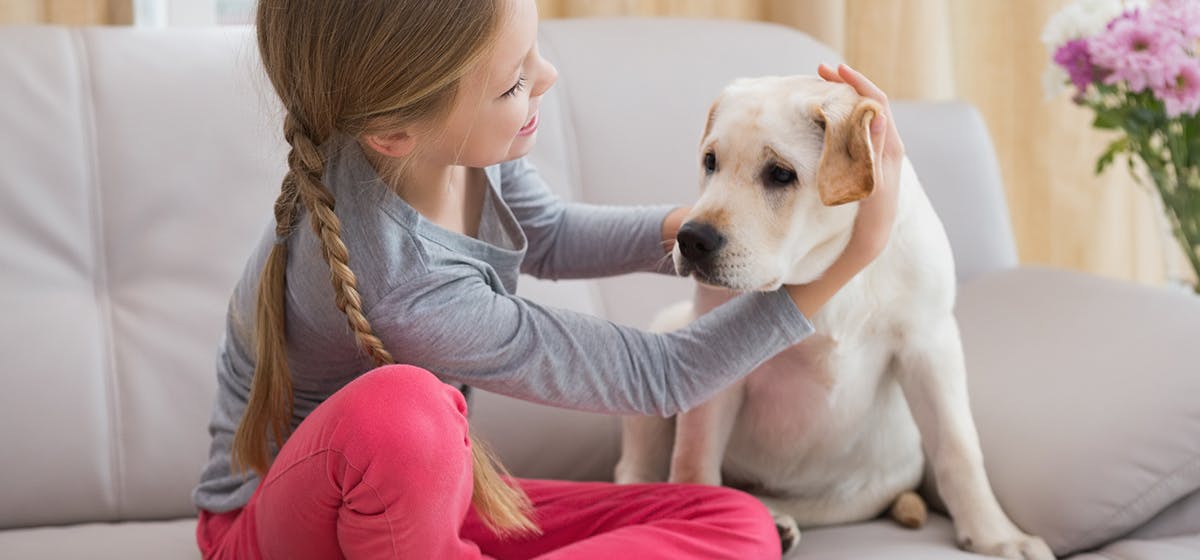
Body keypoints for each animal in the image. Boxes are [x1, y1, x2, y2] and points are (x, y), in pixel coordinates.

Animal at [619, 75, 1051, 560]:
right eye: (711, 162)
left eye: (780, 173)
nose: (691, 239)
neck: (821, 269)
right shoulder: (710, 360)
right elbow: (694, 459)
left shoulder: (931, 343)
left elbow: (959, 447)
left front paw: (997, 534)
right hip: (667, 331)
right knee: (635, 470)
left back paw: (777, 520)